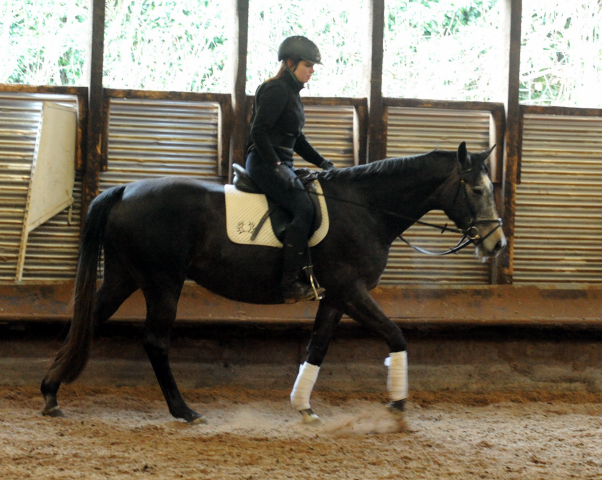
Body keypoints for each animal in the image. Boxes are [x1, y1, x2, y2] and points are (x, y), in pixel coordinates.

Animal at [39, 142, 504, 424]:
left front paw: (303, 407)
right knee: (154, 341)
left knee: (87, 322)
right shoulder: (351, 290)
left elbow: (317, 347)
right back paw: (183, 410)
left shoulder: (335, 296)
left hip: (125, 277)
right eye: (477, 190)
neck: (365, 208)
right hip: (162, 282)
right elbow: (395, 334)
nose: (496, 244)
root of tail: (123, 191)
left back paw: (50, 394)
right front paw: (397, 401)